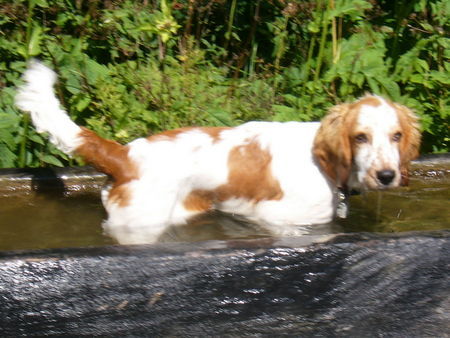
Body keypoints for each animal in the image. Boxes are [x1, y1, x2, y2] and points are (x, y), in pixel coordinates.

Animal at [14, 60, 422, 244]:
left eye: (397, 136)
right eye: (360, 137)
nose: (387, 176)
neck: (323, 164)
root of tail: (124, 156)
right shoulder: (280, 221)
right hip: (141, 225)